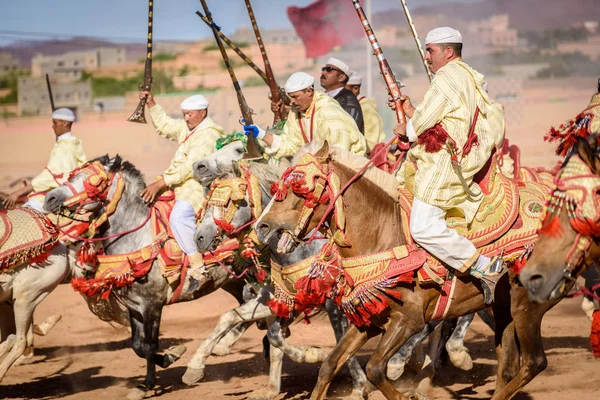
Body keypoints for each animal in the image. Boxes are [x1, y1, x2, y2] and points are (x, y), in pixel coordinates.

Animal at [42, 155, 252, 400]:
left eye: (95, 181)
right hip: (233, 282)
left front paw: (149, 383)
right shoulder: (134, 306)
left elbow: (150, 346)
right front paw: (168, 359)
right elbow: (138, 346)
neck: (137, 238)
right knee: (245, 306)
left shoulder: (152, 305)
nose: (49, 199)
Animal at [258, 141, 564, 400]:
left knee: (534, 363)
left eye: (300, 187)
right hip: (504, 308)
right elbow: (330, 365)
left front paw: (411, 392)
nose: (261, 226)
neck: (384, 236)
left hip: (526, 307)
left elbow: (376, 369)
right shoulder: (368, 321)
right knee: (507, 365)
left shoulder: (408, 321)